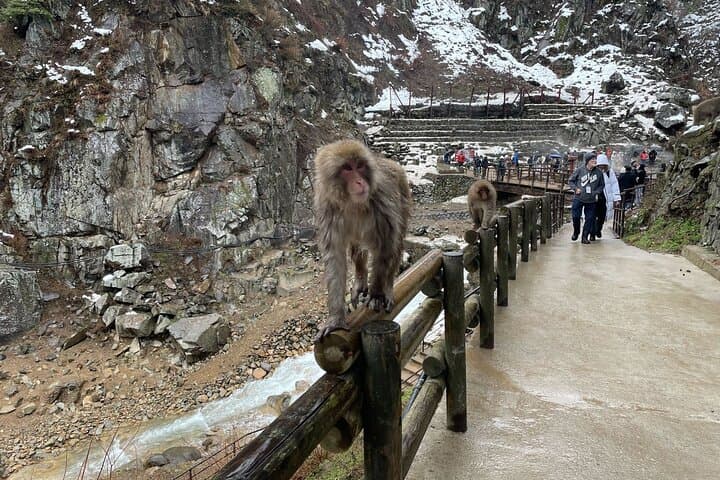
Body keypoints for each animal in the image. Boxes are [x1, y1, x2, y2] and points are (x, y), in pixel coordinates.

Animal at [313, 139, 412, 338]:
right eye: (347, 168)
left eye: (360, 166)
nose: (359, 181)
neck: (352, 204)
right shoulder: (327, 208)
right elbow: (335, 258)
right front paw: (335, 318)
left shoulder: (382, 201)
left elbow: (385, 247)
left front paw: (377, 294)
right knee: (357, 245)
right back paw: (360, 277)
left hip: (403, 196)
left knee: (396, 244)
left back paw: (387, 287)